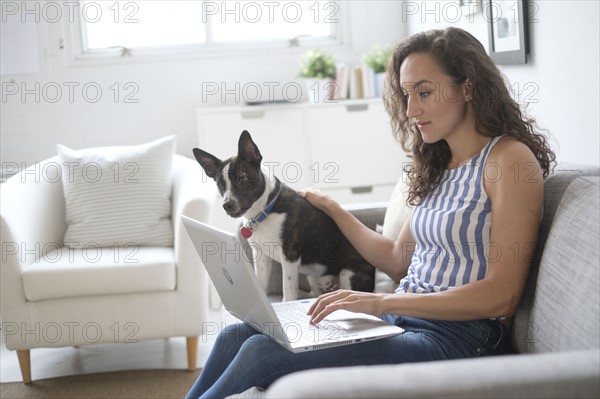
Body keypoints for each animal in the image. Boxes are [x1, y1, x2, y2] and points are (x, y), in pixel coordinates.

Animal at [193, 132, 376, 304]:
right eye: (220, 185)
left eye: (242, 178)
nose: (227, 204)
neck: (265, 211)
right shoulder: (261, 257)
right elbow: (261, 285)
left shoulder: (290, 257)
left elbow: (288, 291)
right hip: (314, 278)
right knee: (315, 292)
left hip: (347, 274)